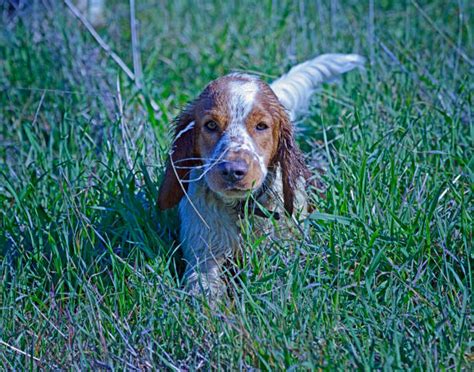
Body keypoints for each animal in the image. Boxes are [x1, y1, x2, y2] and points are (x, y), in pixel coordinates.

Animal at [158, 53, 362, 298]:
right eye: (211, 125)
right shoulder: (203, 251)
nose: (232, 171)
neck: (242, 208)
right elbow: (204, 288)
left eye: (262, 126)